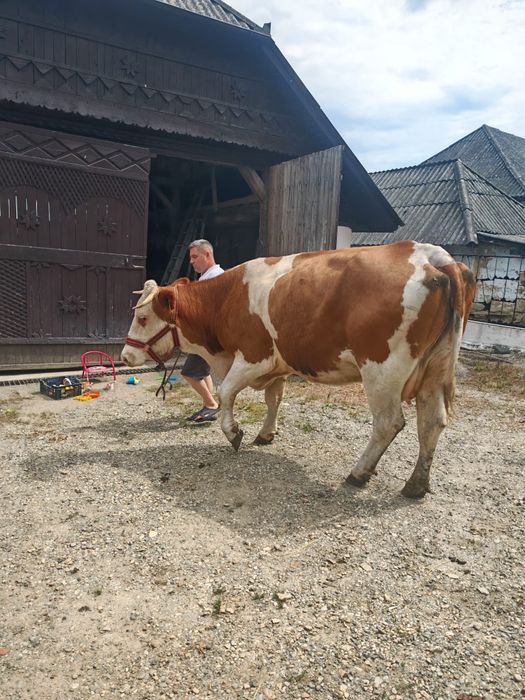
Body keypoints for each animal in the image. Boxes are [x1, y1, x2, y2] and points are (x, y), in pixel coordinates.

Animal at [122, 240, 476, 498]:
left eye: (142, 317)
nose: (124, 356)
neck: (226, 299)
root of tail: (434, 255)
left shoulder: (254, 356)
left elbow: (226, 392)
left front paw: (234, 433)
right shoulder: (278, 365)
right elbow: (274, 399)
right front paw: (266, 433)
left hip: (382, 370)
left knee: (388, 423)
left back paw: (359, 473)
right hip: (435, 369)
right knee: (432, 423)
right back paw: (416, 484)